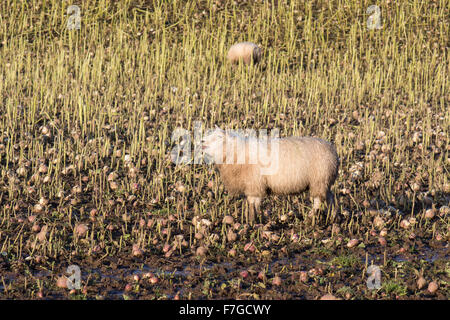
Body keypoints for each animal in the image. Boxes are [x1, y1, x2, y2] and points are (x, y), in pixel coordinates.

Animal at [202, 127, 340, 222]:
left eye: (217, 137)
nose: (202, 141)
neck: (236, 153)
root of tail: (333, 151)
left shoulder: (255, 184)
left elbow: (254, 204)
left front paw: (253, 221)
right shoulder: (252, 185)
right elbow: (252, 204)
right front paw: (252, 219)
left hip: (319, 179)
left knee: (318, 200)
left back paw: (311, 216)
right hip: (324, 181)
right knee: (330, 197)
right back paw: (333, 216)